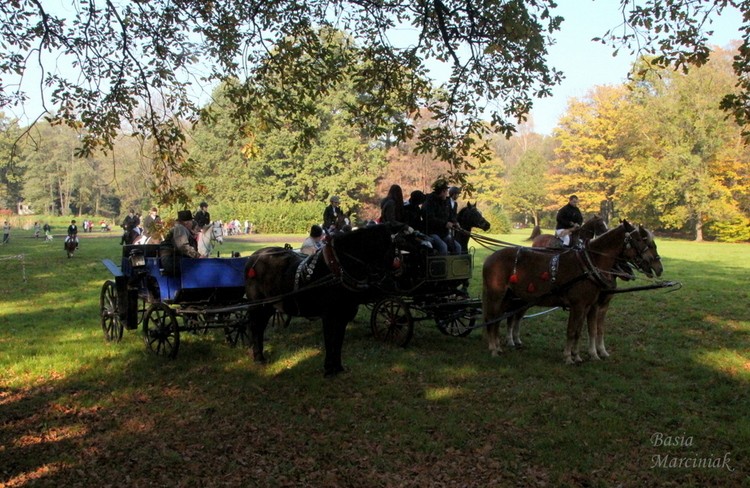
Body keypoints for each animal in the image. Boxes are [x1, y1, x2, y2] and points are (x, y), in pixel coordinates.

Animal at [247, 223, 424, 376]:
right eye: (404, 241)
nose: (401, 274)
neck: (338, 269)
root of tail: (254, 256)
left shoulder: (343, 314)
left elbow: (338, 340)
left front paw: (337, 367)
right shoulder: (329, 315)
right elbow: (329, 340)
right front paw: (328, 368)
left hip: (269, 307)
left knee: (260, 327)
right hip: (258, 306)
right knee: (256, 327)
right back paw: (258, 357)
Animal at [482, 220, 664, 362]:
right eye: (640, 239)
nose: (658, 267)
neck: (590, 264)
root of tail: (490, 258)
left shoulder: (587, 306)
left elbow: (579, 331)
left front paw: (578, 355)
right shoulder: (578, 305)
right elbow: (572, 331)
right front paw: (569, 357)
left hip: (510, 297)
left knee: (500, 319)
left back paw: (499, 346)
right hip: (496, 295)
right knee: (492, 319)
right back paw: (493, 348)